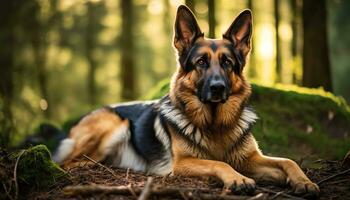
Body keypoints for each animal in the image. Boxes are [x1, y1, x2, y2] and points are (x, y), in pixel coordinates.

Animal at [54, 5, 320, 197]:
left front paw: (304, 181)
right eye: (201, 62)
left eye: (227, 63)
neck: (214, 124)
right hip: (113, 125)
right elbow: (218, 163)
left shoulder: (250, 158)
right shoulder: (182, 164)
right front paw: (237, 178)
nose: (217, 88)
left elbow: (288, 161)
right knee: (66, 162)